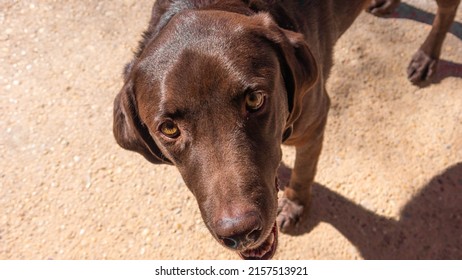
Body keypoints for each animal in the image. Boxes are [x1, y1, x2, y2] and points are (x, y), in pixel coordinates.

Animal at [112, 0, 458, 260]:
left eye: (254, 99)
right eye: (169, 129)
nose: (240, 233)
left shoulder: (315, 119)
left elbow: (304, 169)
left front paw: (294, 204)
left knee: (447, 10)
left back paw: (427, 56)